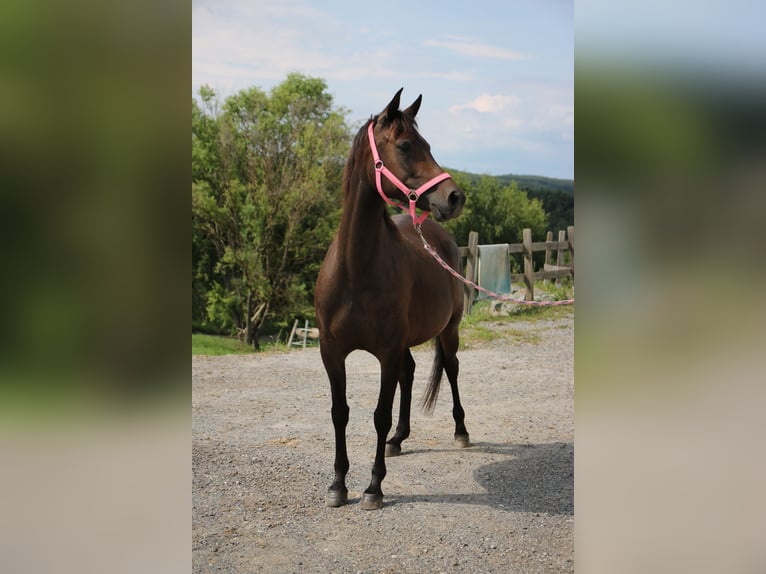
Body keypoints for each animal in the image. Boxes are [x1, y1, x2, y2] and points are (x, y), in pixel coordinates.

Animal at [316, 90, 472, 512]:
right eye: (405, 146)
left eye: (428, 145)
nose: (454, 197)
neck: (356, 269)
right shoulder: (332, 352)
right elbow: (340, 413)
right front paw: (338, 484)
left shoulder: (385, 351)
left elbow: (379, 415)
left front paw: (373, 487)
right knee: (411, 372)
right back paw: (399, 439)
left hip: (449, 331)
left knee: (451, 370)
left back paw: (461, 430)